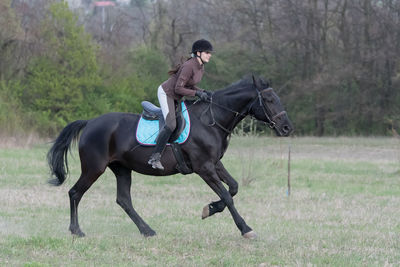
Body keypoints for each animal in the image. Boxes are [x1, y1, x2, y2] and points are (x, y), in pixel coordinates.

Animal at [47, 76, 294, 241]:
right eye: (269, 99)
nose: (287, 128)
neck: (211, 120)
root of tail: (90, 123)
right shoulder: (204, 167)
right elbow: (227, 195)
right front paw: (245, 228)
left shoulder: (214, 163)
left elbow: (233, 188)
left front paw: (210, 209)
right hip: (94, 168)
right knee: (75, 193)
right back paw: (76, 230)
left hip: (122, 168)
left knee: (124, 200)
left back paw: (147, 230)